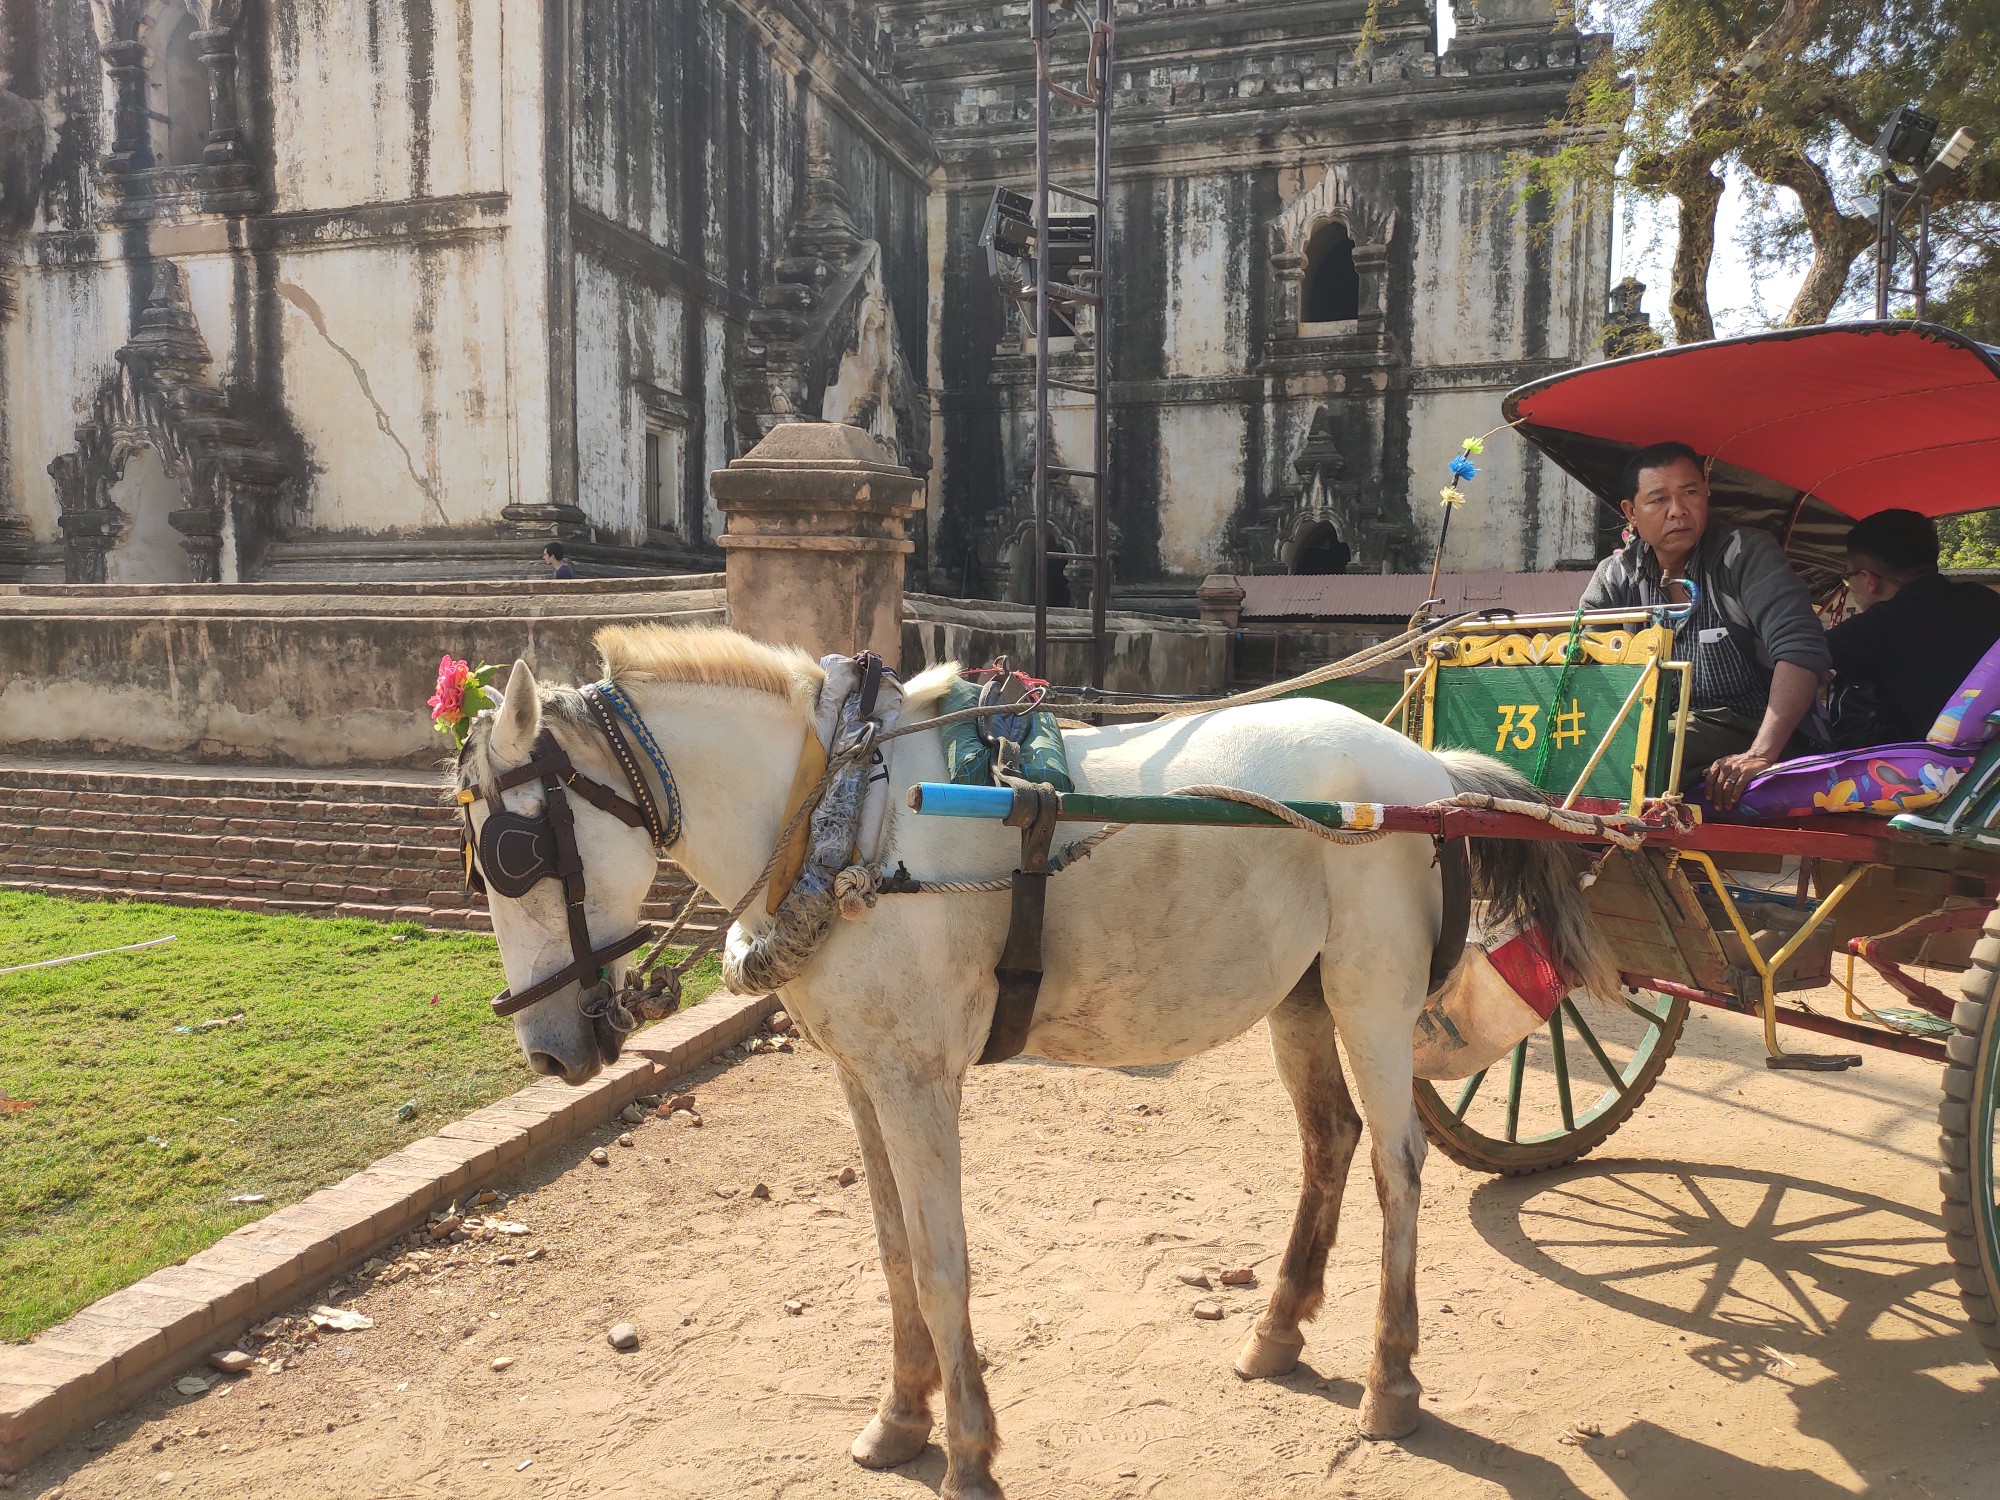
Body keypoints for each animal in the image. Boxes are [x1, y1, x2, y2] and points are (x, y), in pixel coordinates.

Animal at [460, 624, 1616, 1500]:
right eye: (484, 862)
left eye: (513, 854)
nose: (549, 1050)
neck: (844, 811)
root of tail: (1425, 773)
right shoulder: (861, 1074)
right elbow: (891, 1251)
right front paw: (899, 1415)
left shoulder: (919, 1078)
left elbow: (942, 1261)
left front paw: (968, 1450)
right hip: (1298, 989)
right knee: (1328, 1141)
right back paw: (1279, 1328)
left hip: (1370, 994)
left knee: (1396, 1164)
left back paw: (1391, 1380)